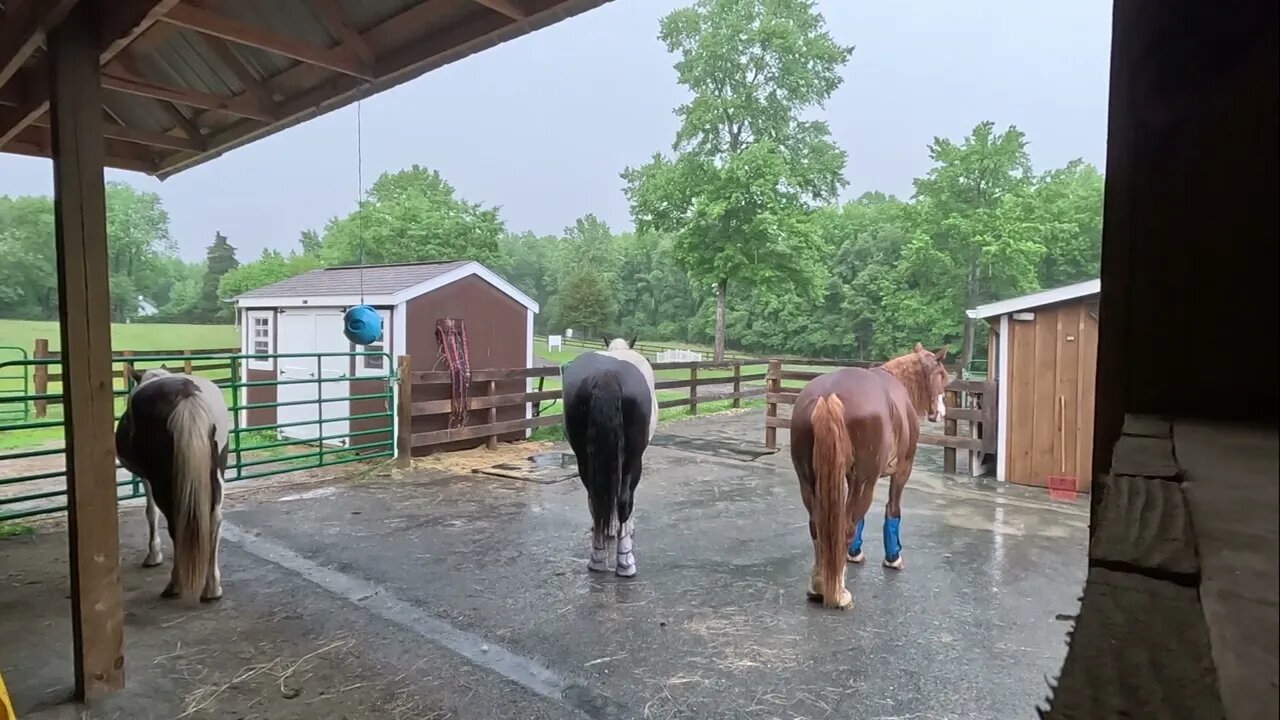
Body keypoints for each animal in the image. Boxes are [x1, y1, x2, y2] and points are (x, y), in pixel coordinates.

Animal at [115, 366, 230, 597]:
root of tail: (187, 393)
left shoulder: (147, 477)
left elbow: (151, 512)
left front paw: (153, 556)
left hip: (163, 480)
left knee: (176, 523)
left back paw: (175, 584)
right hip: (217, 474)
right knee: (215, 521)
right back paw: (212, 588)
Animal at [563, 338, 655, 576]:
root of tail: (607, 374)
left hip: (584, 458)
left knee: (595, 497)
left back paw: (597, 557)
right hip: (632, 460)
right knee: (624, 501)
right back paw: (625, 562)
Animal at [788, 340, 952, 604]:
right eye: (942, 375)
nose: (942, 412)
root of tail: (828, 396)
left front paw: (853, 553)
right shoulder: (902, 468)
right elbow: (892, 509)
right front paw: (893, 557)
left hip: (809, 481)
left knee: (819, 526)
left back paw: (819, 584)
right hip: (865, 481)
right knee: (846, 525)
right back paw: (838, 591)